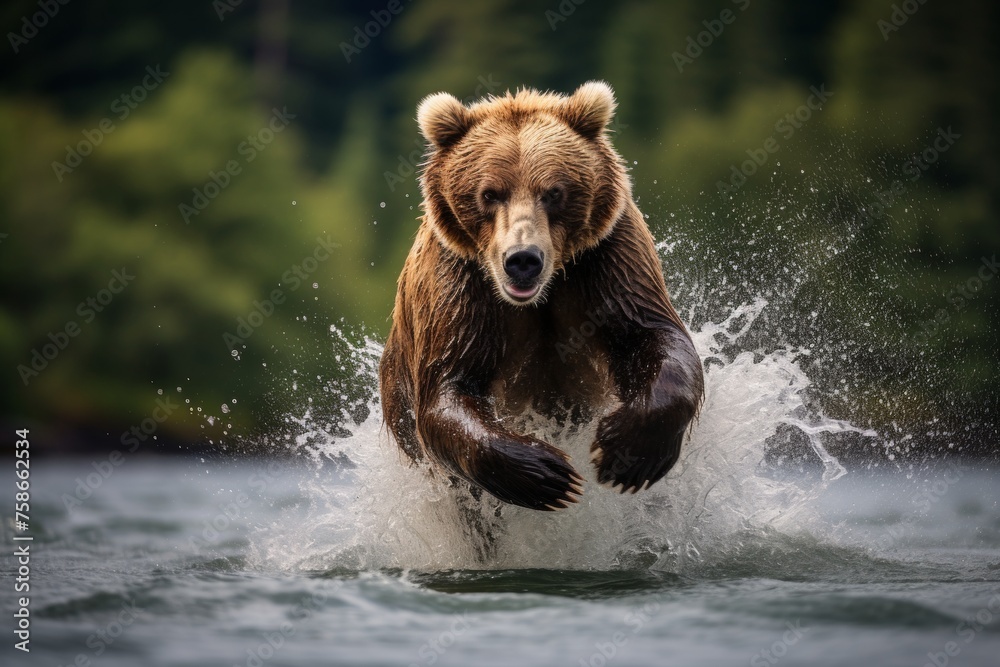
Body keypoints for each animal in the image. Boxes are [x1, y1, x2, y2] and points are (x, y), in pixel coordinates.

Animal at [379, 81, 704, 511]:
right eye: (490, 193)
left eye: (553, 192)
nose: (523, 260)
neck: (540, 296)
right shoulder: (458, 285)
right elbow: (448, 389)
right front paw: (548, 474)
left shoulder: (607, 261)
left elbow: (654, 336)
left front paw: (625, 450)